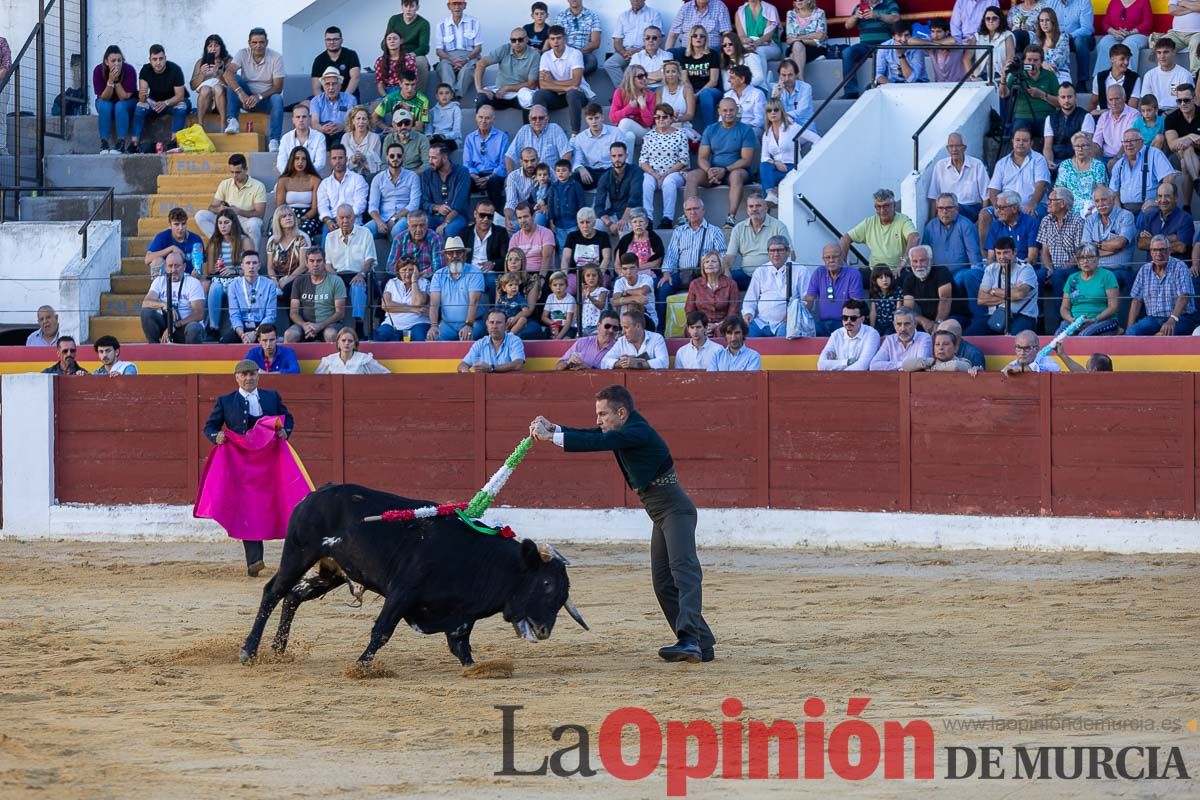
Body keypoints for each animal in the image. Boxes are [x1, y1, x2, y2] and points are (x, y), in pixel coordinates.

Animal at [237, 484, 585, 666]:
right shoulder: (402, 592)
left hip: (331, 570)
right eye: (545, 583)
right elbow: (382, 631)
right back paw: (248, 650)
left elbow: (461, 644)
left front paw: (475, 668)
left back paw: (278, 649)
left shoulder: (462, 612)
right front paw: (361, 665)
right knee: (273, 592)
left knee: (293, 596)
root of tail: (314, 495)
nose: (544, 630)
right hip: (298, 553)